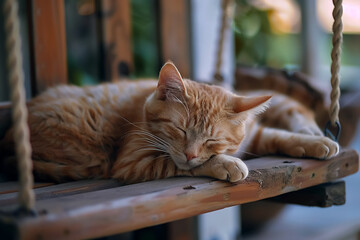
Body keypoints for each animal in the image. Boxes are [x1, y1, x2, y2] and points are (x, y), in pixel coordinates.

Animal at [0, 62, 338, 184]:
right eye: (179, 130)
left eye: (212, 140)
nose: (190, 152)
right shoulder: (133, 161)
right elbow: (178, 164)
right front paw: (225, 164)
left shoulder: (253, 138)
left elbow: (279, 135)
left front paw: (316, 141)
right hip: (92, 152)